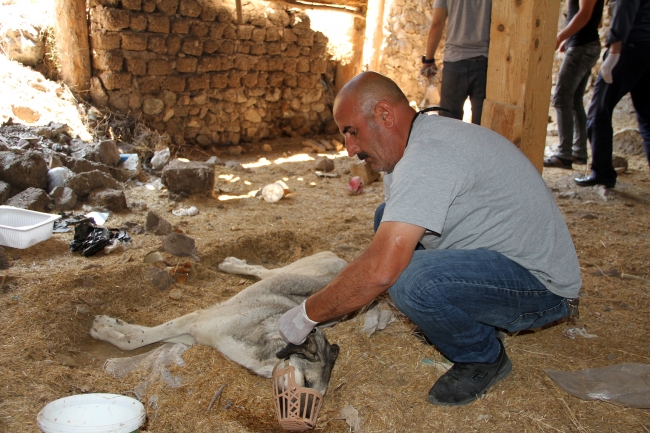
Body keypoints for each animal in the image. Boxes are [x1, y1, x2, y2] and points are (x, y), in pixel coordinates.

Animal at [90, 250, 350, 394]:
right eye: (306, 381)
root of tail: (344, 262)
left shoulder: (191, 332)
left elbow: (143, 332)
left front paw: (111, 324)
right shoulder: (193, 320)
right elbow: (136, 340)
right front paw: (106, 330)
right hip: (283, 273)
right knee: (260, 270)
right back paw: (231, 264)